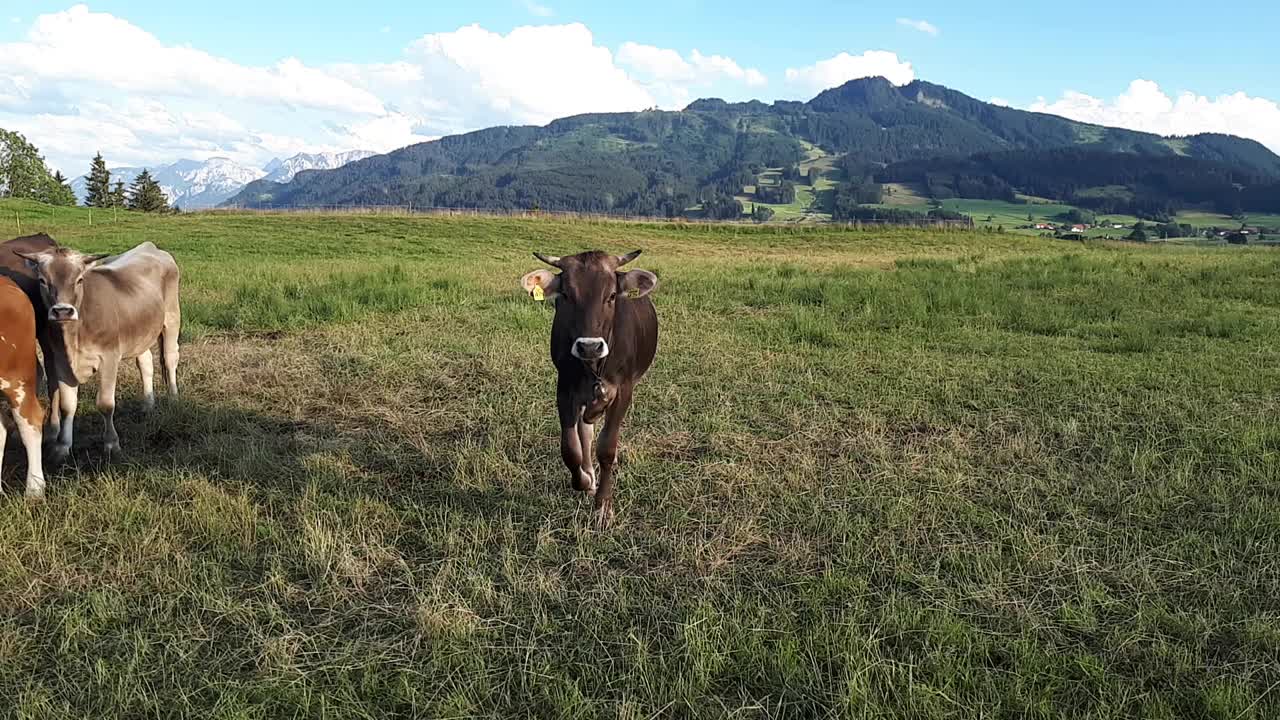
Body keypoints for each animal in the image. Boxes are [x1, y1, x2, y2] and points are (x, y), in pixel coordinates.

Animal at [16, 239, 180, 453]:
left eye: (79, 280)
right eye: (43, 280)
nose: (62, 311)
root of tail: (149, 246)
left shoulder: (109, 357)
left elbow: (105, 404)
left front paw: (111, 443)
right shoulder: (61, 360)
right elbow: (67, 406)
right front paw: (63, 446)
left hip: (171, 318)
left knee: (169, 360)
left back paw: (174, 399)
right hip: (141, 332)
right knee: (145, 364)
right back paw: (147, 403)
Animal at [519, 249, 660, 525]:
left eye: (612, 295)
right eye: (565, 295)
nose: (589, 346)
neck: (593, 366)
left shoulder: (623, 390)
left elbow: (606, 447)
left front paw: (603, 506)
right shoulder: (564, 388)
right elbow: (570, 448)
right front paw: (584, 480)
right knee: (585, 431)